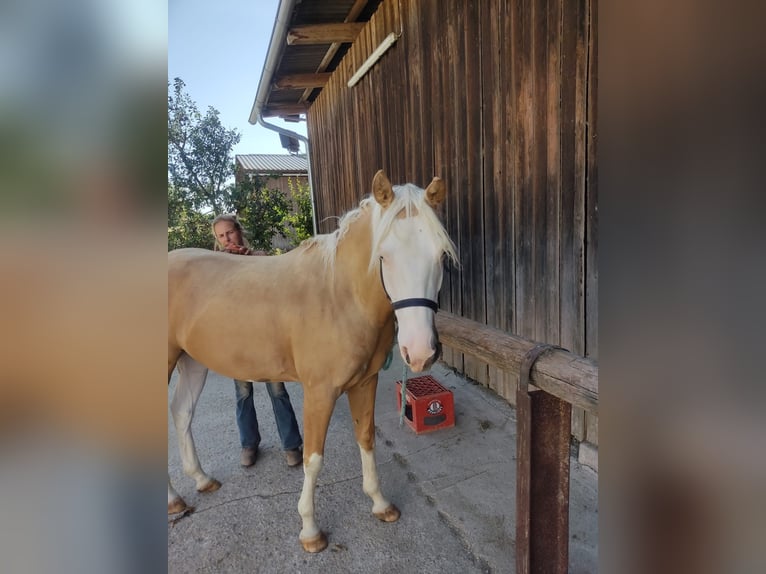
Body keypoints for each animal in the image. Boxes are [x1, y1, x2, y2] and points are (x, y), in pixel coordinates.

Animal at [167, 169, 458, 552]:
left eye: (441, 255)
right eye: (384, 255)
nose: (421, 351)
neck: (338, 297)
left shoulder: (365, 383)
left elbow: (366, 438)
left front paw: (380, 504)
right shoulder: (319, 392)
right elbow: (314, 459)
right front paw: (310, 530)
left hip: (192, 361)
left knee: (182, 413)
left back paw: (201, 480)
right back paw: (174, 501)